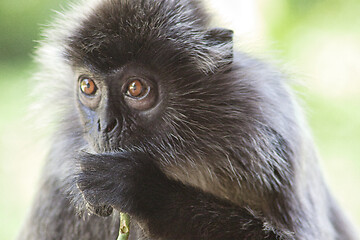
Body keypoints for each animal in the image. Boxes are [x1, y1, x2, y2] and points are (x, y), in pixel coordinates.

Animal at [18, 0, 358, 239]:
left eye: (135, 88)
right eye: (88, 86)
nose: (105, 125)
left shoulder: (272, 129)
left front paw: (142, 190)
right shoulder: (59, 177)